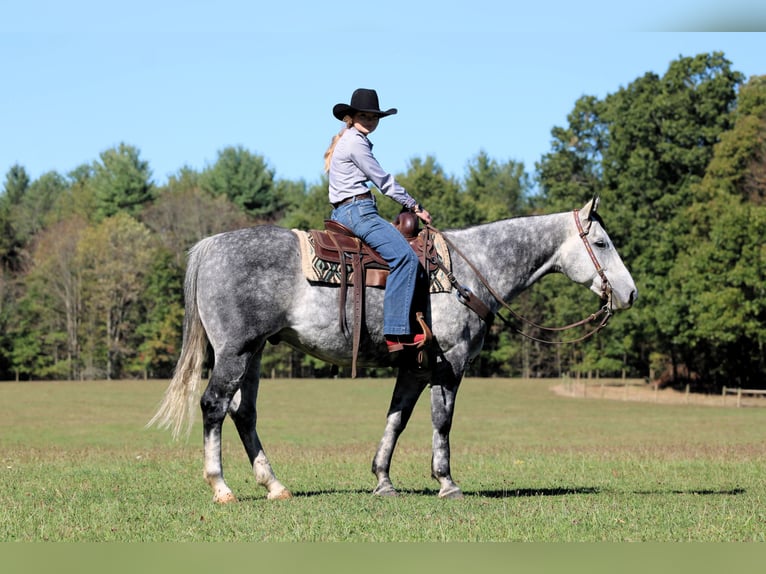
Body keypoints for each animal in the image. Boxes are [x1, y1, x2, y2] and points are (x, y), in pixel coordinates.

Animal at [149, 197, 637, 502]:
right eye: (601, 243)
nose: (630, 293)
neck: (468, 270)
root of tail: (210, 246)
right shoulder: (449, 364)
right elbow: (442, 422)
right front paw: (446, 482)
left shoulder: (415, 368)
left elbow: (396, 420)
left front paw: (382, 480)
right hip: (235, 351)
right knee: (214, 405)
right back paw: (222, 488)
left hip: (254, 354)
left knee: (243, 413)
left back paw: (275, 486)